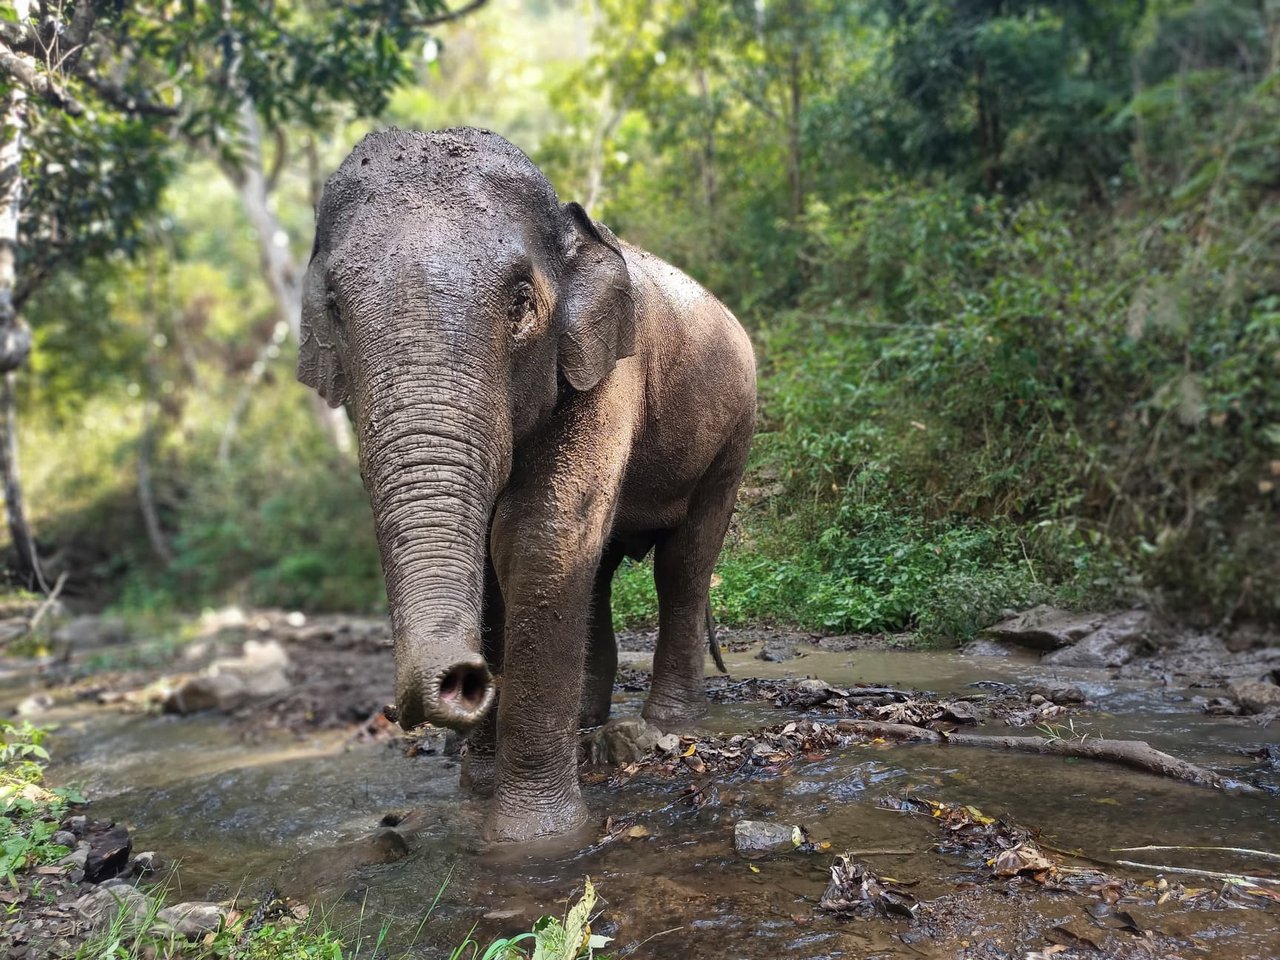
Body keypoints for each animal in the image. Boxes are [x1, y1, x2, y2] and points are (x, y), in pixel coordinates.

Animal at [296, 128, 757, 839]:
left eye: (520, 301)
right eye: (336, 310)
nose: (460, 680)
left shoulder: (608, 372)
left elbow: (538, 539)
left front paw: (534, 841)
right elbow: (496, 557)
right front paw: (477, 787)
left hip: (734, 434)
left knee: (684, 563)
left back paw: (668, 724)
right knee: (600, 571)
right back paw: (590, 721)